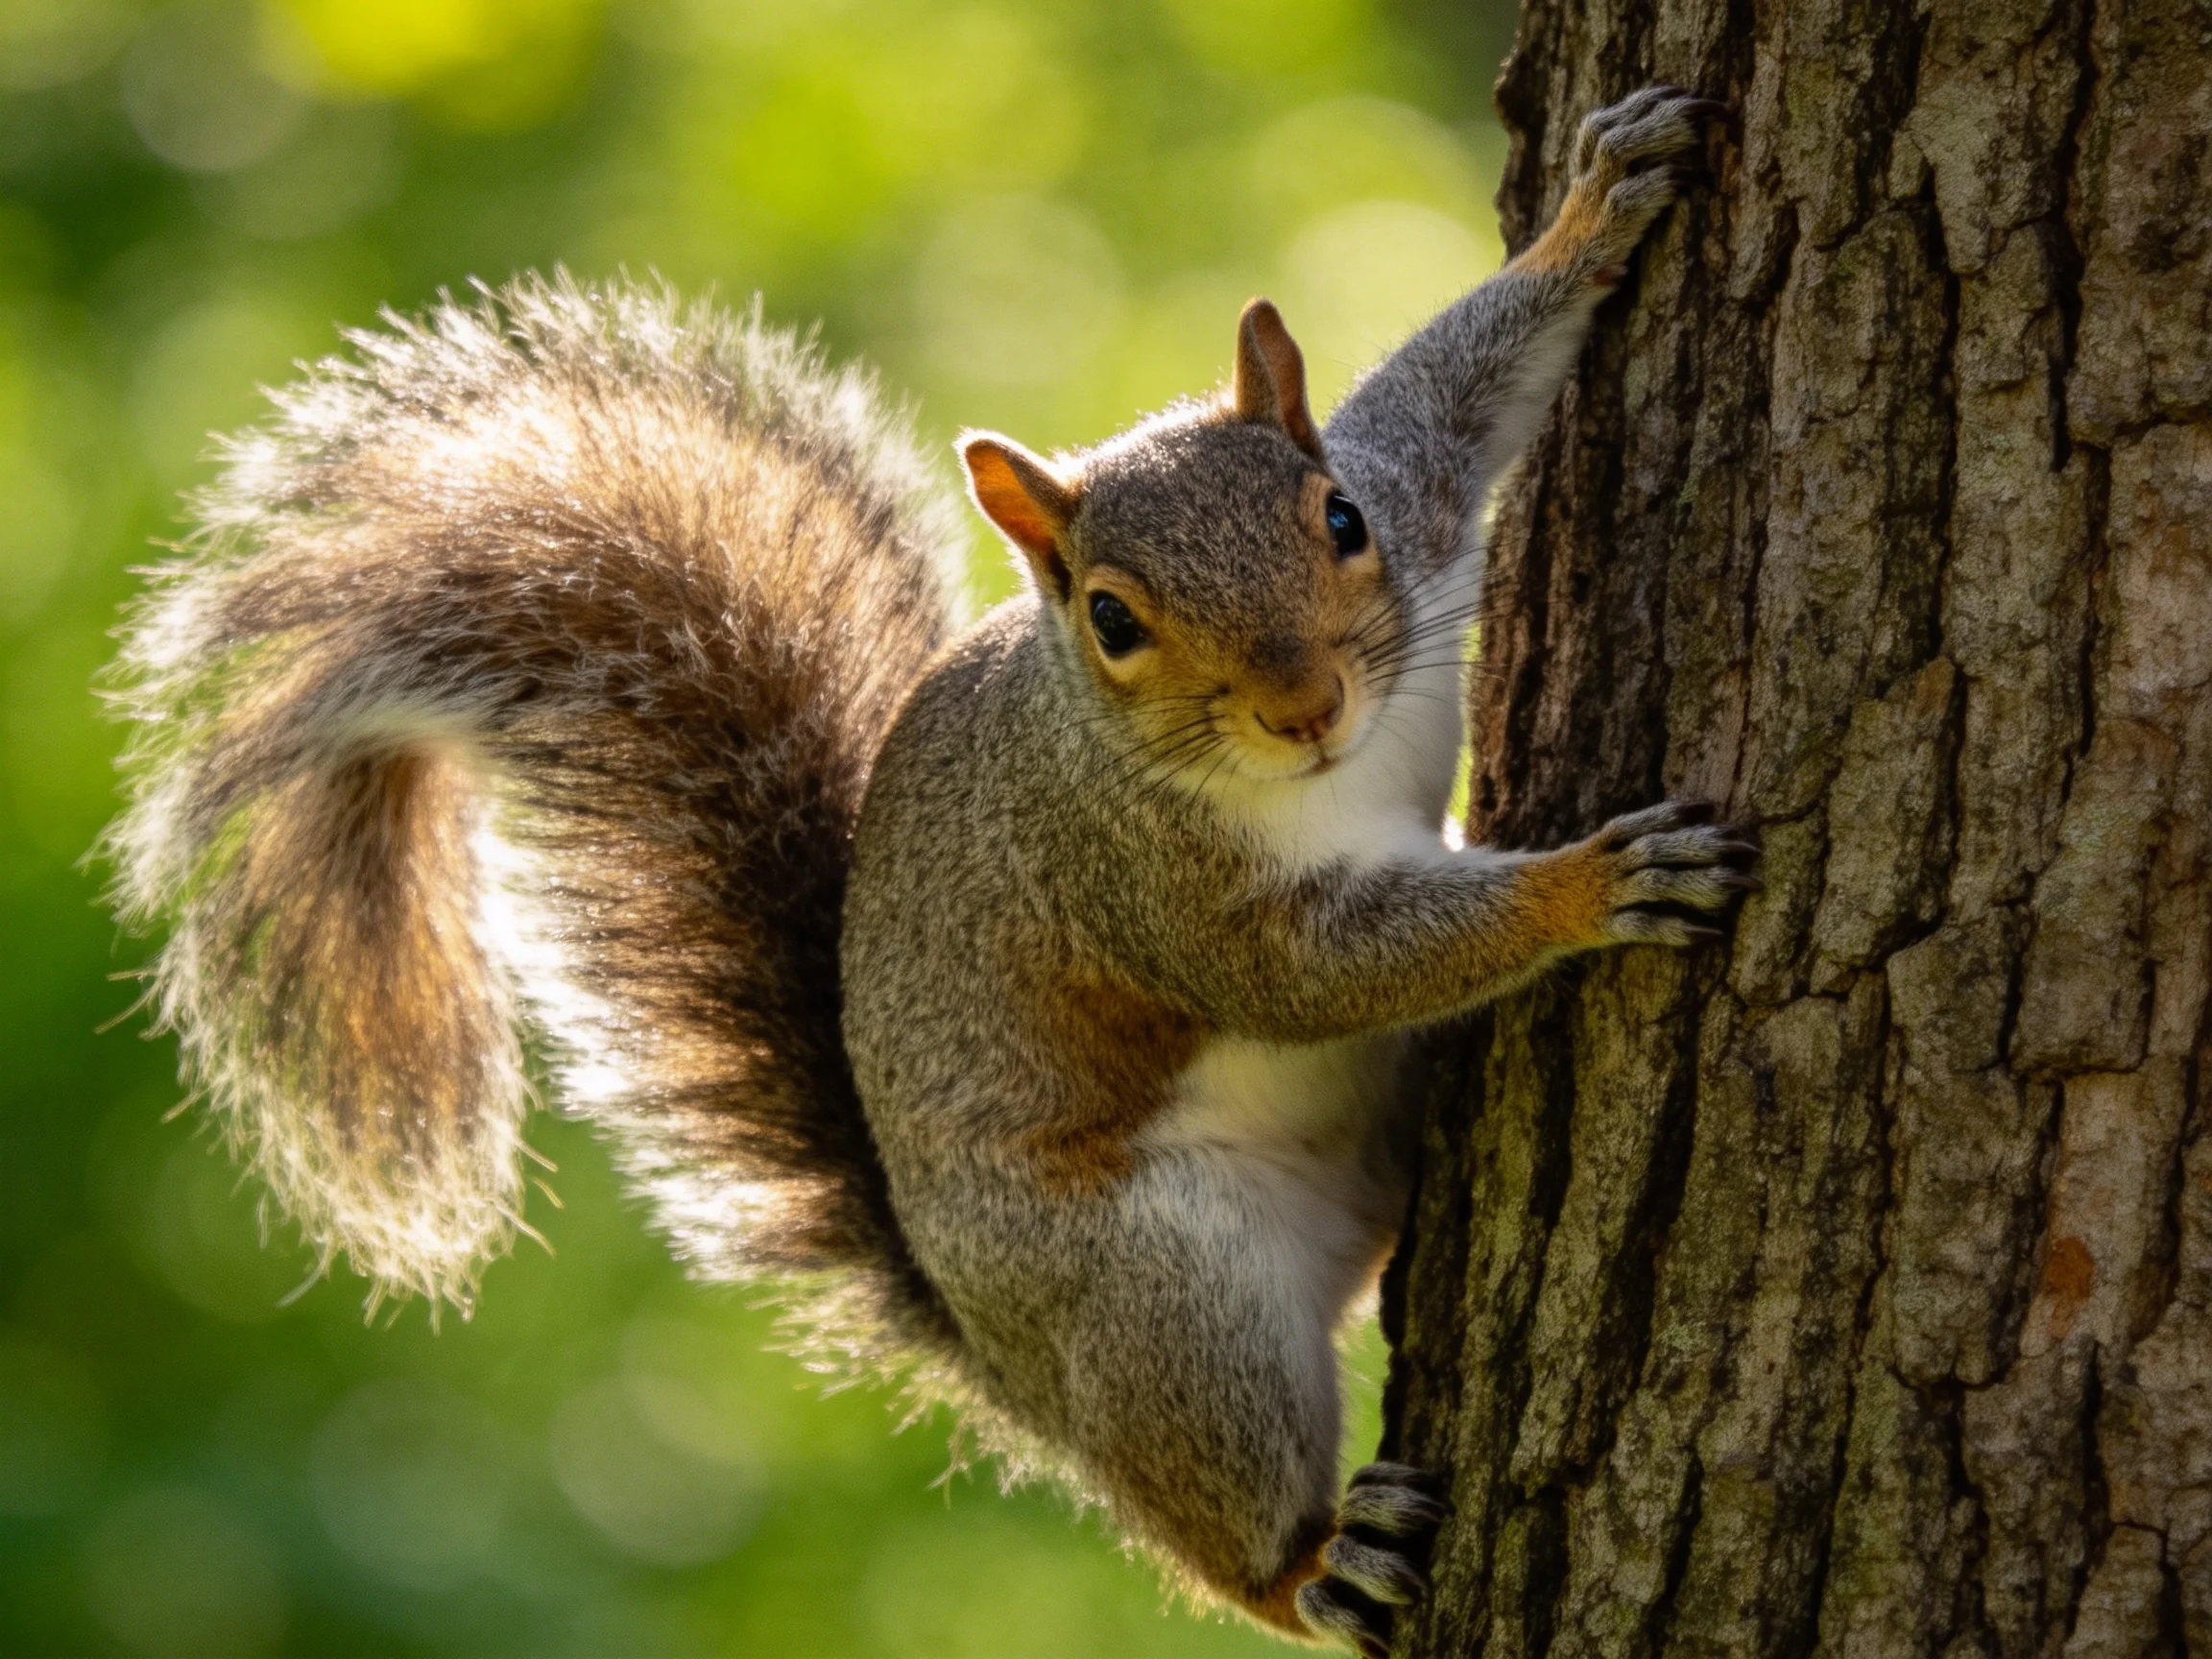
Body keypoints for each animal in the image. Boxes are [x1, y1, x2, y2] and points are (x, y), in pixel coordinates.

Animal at [105, 87, 1743, 1655]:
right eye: (1111, 619)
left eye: (1337, 518)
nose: (1305, 707)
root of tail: (997, 1357)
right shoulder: (1136, 883)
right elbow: (1312, 971)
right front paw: (1589, 887)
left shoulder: (1420, 490)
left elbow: (1460, 382)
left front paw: (1596, 213)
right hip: (1150, 1300)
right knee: (1212, 1504)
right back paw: (1317, 1569)